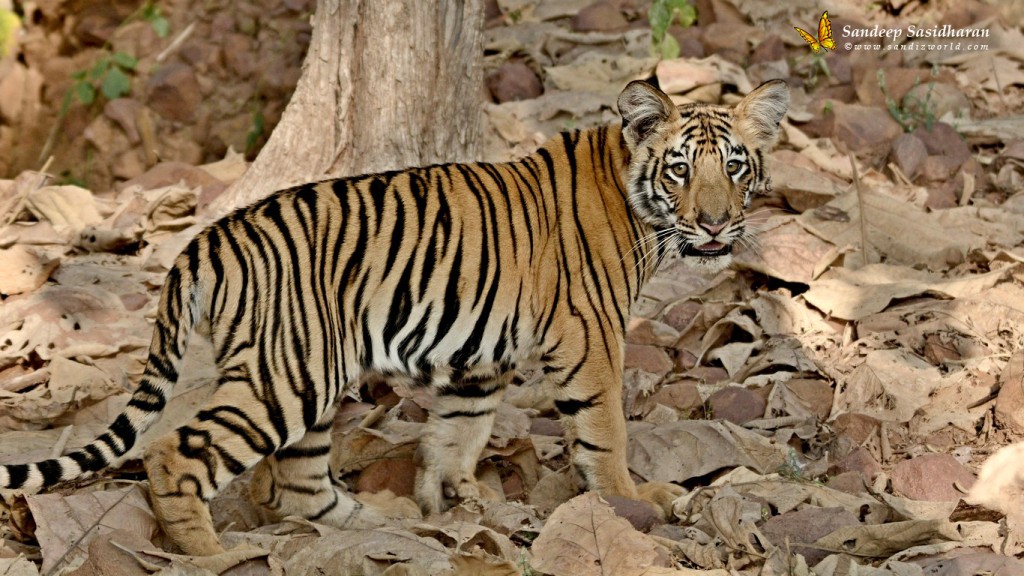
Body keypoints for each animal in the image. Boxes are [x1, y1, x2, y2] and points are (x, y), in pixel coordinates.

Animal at [0, 78, 790, 553]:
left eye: (736, 166)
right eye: (681, 169)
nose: (716, 225)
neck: (634, 202)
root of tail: (203, 241)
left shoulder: (479, 358)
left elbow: (458, 433)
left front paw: (451, 501)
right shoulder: (589, 337)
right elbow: (605, 432)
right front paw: (631, 501)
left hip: (307, 378)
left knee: (299, 486)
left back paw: (384, 525)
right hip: (289, 377)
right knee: (176, 451)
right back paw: (211, 555)